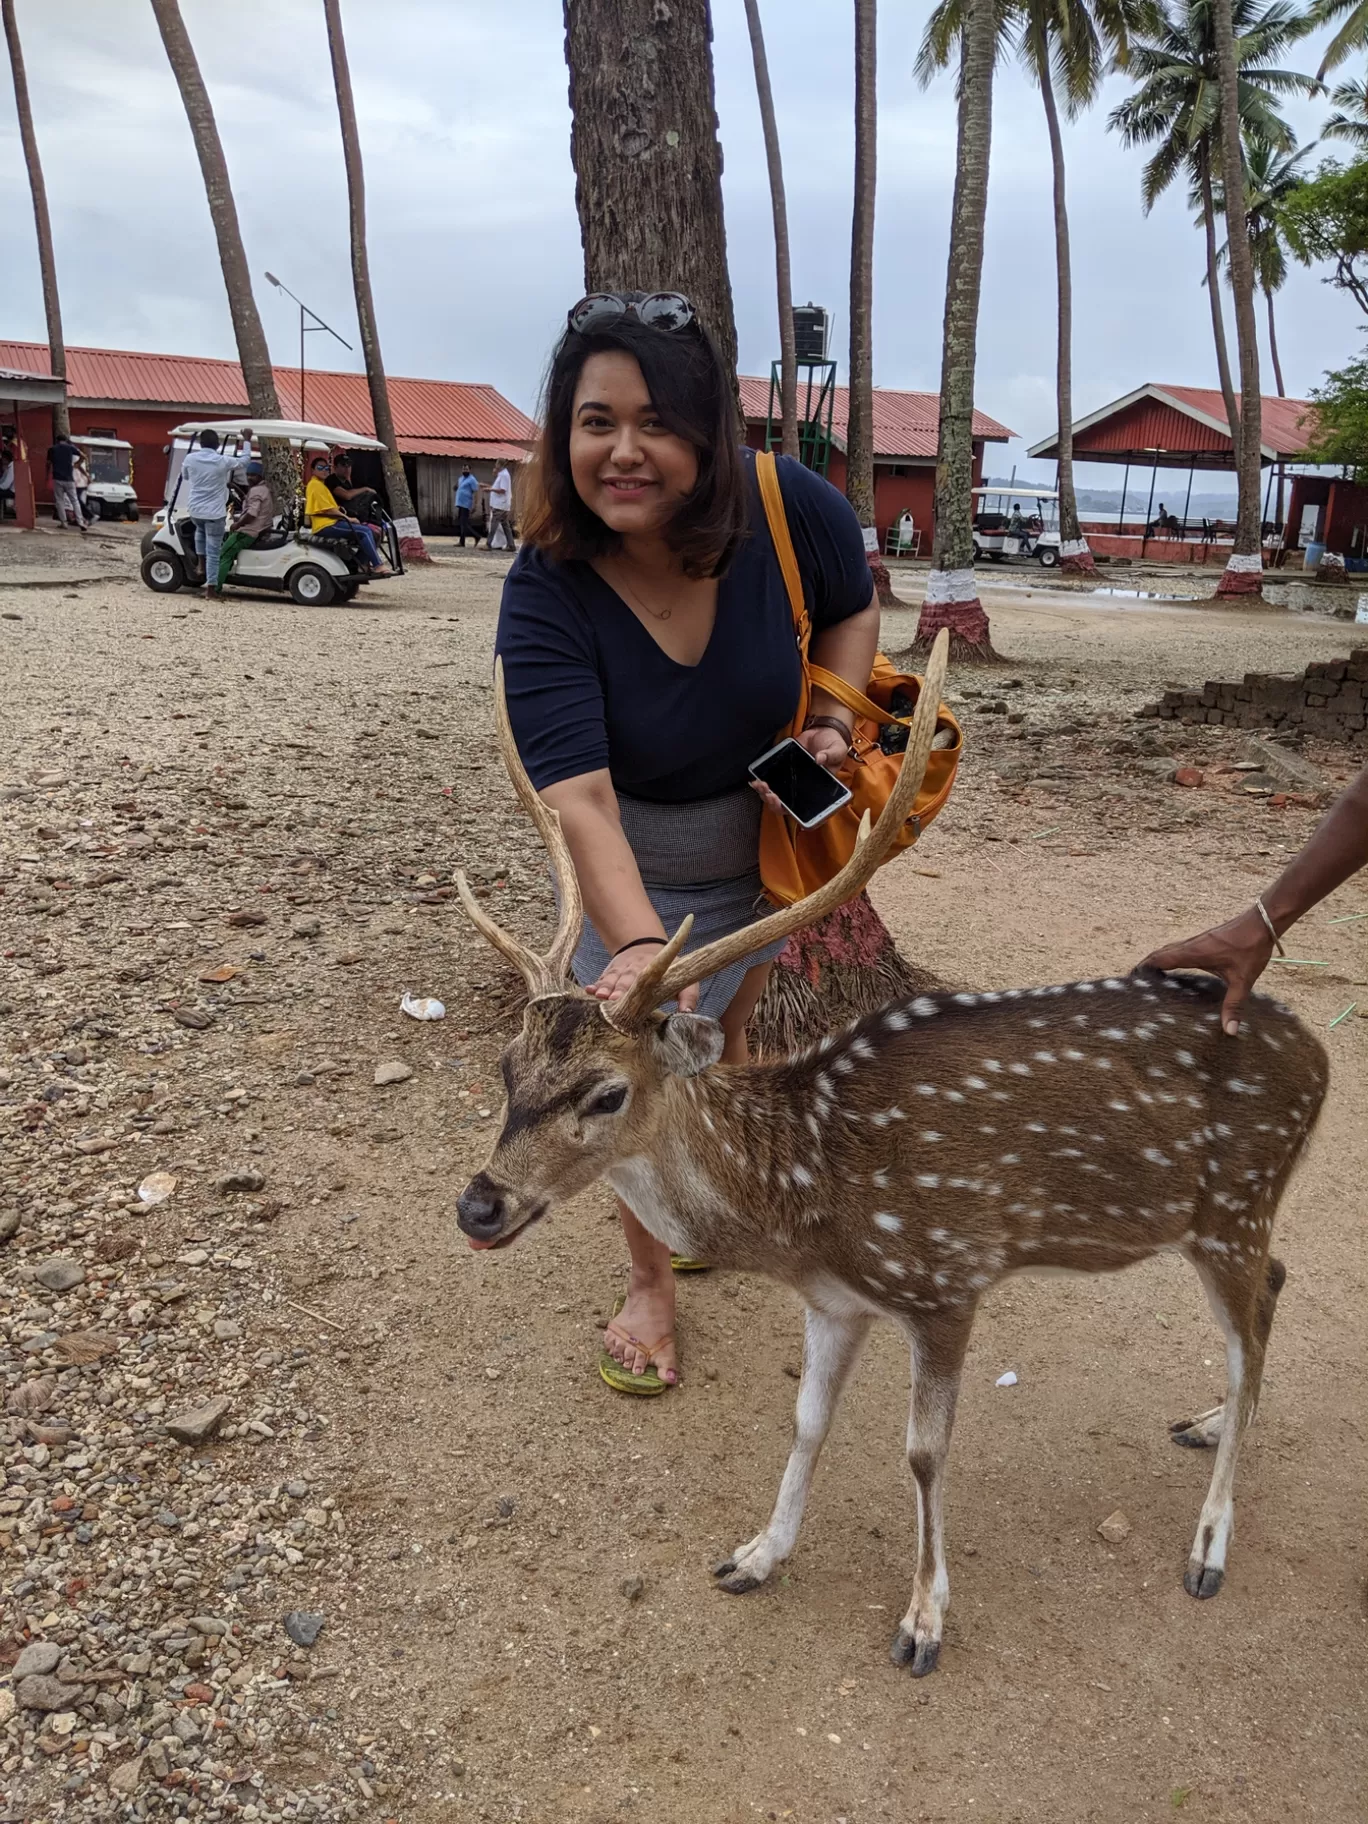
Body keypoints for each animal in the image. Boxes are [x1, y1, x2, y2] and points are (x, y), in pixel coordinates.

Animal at [457, 634, 1327, 1670]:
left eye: (607, 1093)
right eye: (506, 1065)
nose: (479, 1205)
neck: (808, 1196)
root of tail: (1320, 1058)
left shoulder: (945, 1278)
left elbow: (922, 1451)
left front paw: (922, 1620)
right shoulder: (837, 1301)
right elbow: (806, 1421)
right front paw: (756, 1554)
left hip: (1232, 1202)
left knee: (1251, 1328)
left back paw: (1209, 1543)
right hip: (1229, 1218)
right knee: (1271, 1294)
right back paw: (1210, 1421)